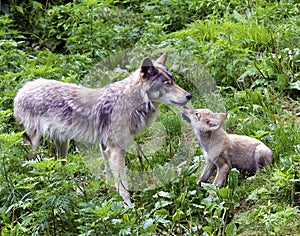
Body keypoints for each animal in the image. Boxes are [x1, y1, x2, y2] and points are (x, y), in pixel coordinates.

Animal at [13, 52, 192, 206]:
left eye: (173, 81)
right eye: (167, 84)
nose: (189, 95)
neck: (131, 103)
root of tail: (22, 88)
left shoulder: (105, 148)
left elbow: (110, 177)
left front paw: (110, 195)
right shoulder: (115, 151)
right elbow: (123, 185)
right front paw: (129, 208)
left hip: (63, 144)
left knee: (60, 168)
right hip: (35, 146)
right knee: (26, 165)